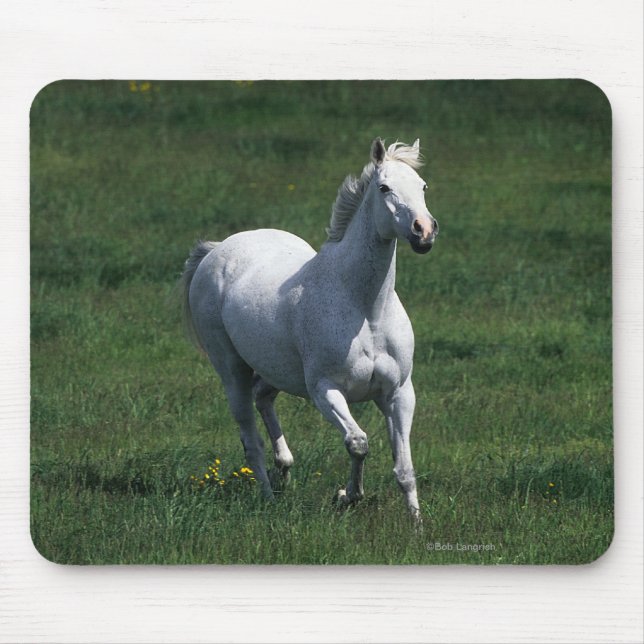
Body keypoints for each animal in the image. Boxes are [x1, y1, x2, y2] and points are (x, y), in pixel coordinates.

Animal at [181, 138, 438, 519]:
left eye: (422, 187)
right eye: (384, 187)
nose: (424, 231)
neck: (365, 310)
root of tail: (216, 249)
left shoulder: (399, 393)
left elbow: (404, 468)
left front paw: (416, 522)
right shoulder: (325, 390)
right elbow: (358, 443)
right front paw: (347, 495)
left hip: (276, 370)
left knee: (263, 398)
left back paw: (285, 470)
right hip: (231, 370)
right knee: (250, 438)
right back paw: (269, 496)